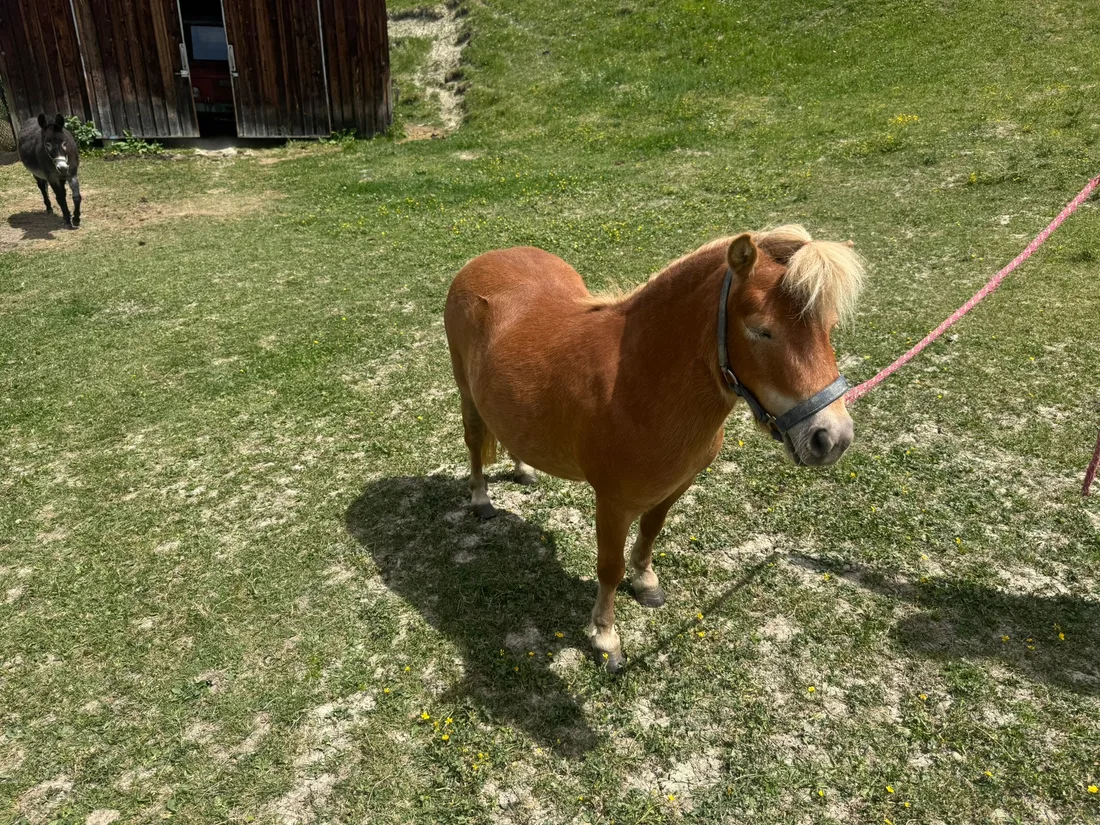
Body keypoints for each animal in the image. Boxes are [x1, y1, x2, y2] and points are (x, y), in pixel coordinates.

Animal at [443, 226, 865, 671]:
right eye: (761, 330)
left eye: (830, 326)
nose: (832, 438)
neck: (638, 382)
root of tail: (483, 261)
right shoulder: (612, 503)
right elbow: (609, 568)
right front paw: (605, 636)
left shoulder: (674, 486)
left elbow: (650, 532)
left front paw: (645, 582)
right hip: (466, 393)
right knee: (475, 441)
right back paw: (481, 499)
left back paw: (524, 469)